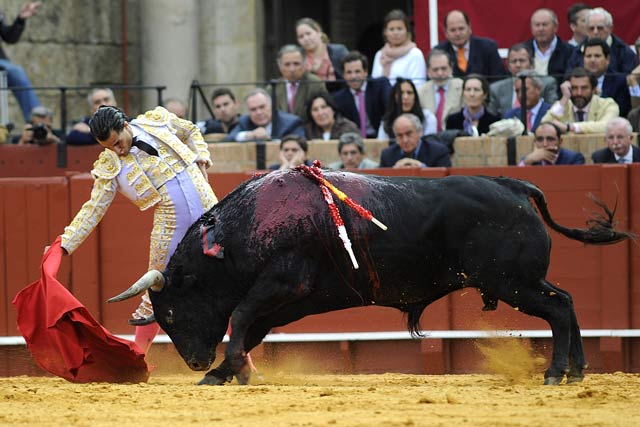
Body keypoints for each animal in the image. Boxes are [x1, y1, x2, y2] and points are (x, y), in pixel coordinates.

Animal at [109, 170, 632, 384]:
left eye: (173, 310)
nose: (194, 361)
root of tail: (514, 184)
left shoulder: (281, 284)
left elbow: (238, 317)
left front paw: (229, 370)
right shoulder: (286, 301)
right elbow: (249, 328)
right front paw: (221, 373)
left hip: (510, 283)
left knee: (559, 307)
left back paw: (555, 372)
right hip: (519, 282)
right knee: (567, 299)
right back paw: (578, 368)